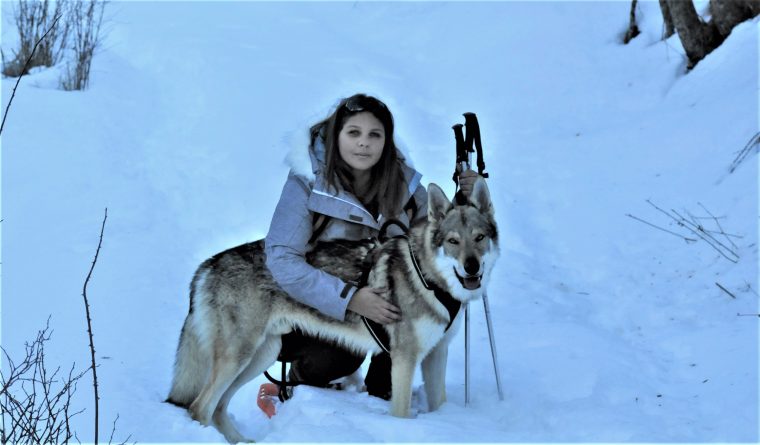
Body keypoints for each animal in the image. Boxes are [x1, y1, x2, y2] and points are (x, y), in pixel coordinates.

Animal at [167, 179, 498, 442]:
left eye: (479, 238)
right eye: (453, 241)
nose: (472, 266)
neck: (430, 279)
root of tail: (208, 265)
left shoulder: (436, 353)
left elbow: (439, 402)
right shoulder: (404, 358)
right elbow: (401, 414)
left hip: (261, 355)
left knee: (219, 408)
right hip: (240, 356)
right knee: (199, 408)